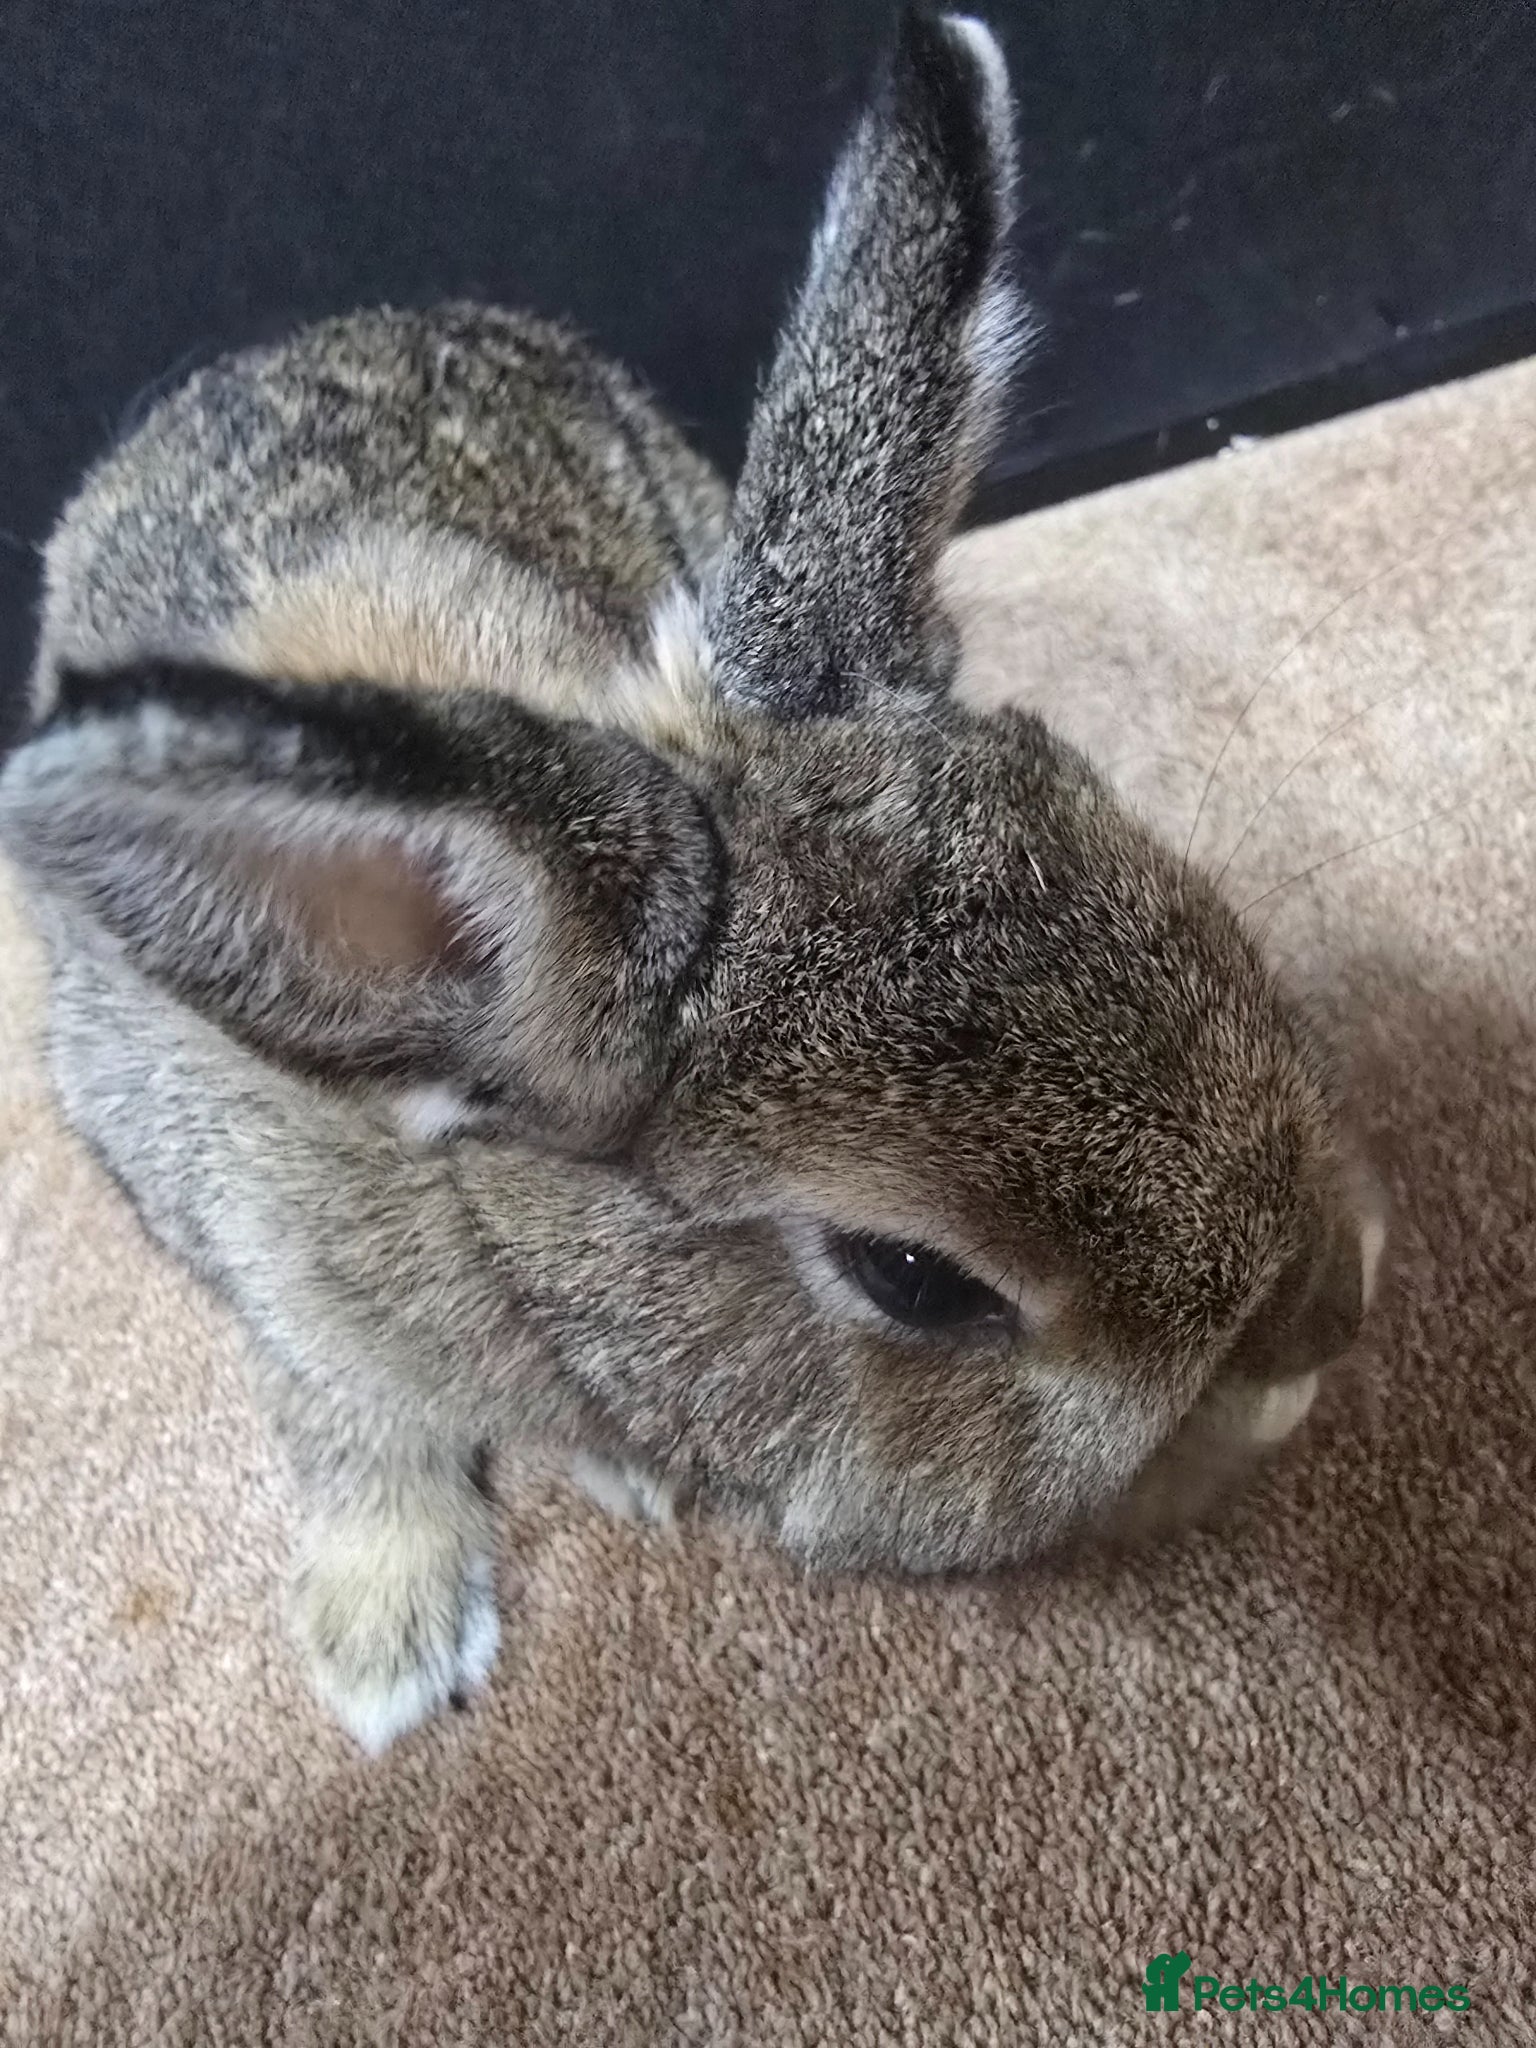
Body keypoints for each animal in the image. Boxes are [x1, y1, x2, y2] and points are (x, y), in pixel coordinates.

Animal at [0, 8, 1383, 1752]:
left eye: (1200, 917)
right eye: (912, 1279)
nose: (1327, 1329)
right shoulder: (253, 1250)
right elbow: (340, 1419)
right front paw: (388, 1651)